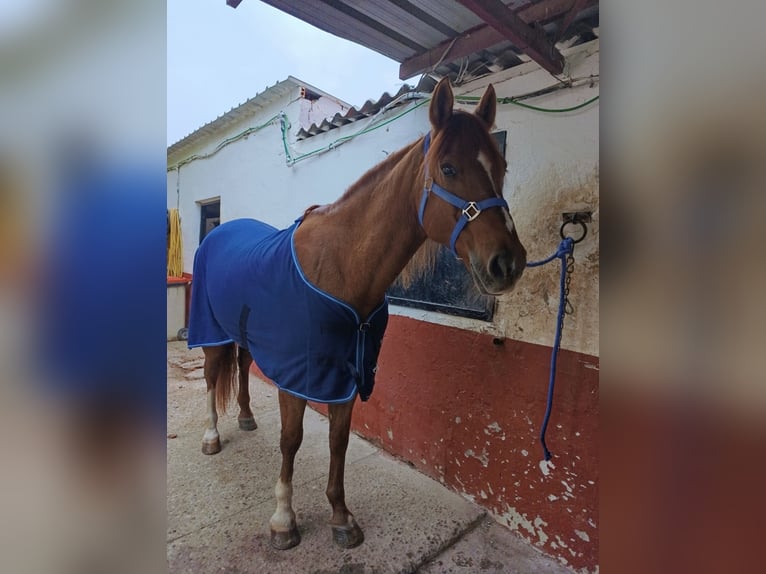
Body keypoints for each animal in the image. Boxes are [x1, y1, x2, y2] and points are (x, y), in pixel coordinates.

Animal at [186, 78, 527, 550]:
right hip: (212, 332)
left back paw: (247, 417)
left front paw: (341, 517)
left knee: (242, 365)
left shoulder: (346, 374)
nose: (507, 263)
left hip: (246, 333)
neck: (342, 268)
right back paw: (212, 436)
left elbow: (338, 442)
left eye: (502, 167)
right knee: (211, 377)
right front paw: (283, 519)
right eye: (448, 168)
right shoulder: (298, 375)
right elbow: (291, 440)